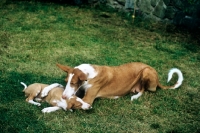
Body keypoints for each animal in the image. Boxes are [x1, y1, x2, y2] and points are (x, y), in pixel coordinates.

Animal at [52, 62, 183, 109]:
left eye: (73, 83)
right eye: (66, 81)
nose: (63, 96)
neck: (89, 74)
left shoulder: (87, 99)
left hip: (146, 72)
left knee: (145, 90)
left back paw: (135, 97)